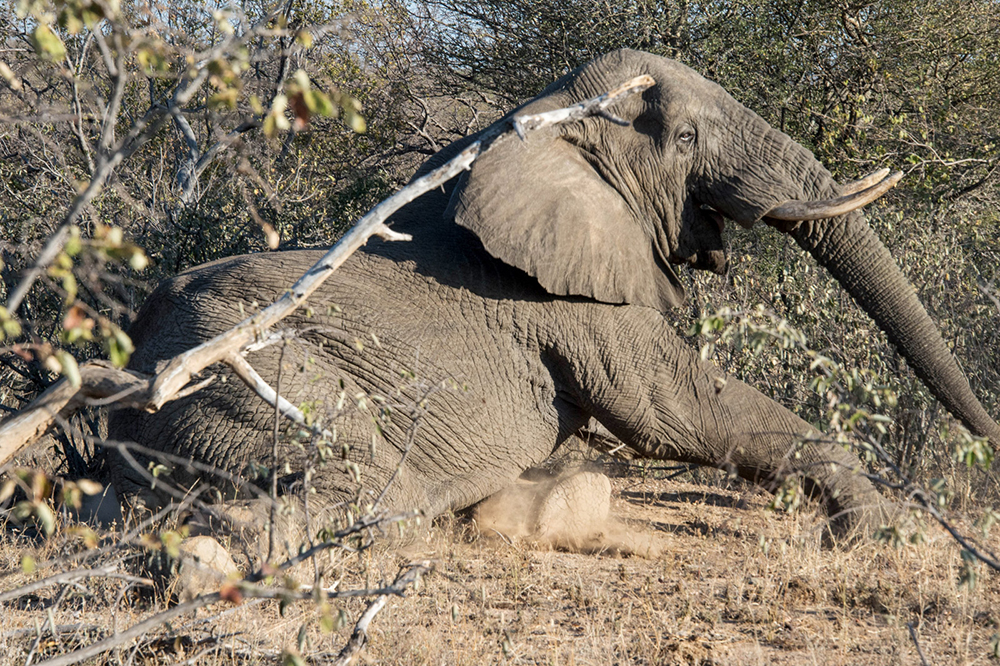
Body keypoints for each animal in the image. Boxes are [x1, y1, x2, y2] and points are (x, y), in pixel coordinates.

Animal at [105, 49, 996, 544]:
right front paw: (883, 530)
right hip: (249, 378)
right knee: (365, 488)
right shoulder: (569, 305)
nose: (988, 438)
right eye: (684, 140)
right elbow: (676, 407)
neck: (543, 116)